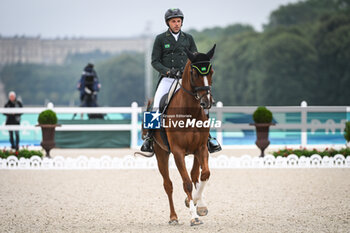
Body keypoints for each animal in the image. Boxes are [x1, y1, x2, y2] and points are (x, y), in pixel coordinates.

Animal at [139, 44, 216, 226]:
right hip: (161, 153)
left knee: (196, 175)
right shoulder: (178, 152)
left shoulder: (201, 148)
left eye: (211, 72)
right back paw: (173, 217)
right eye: (195, 73)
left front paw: (195, 204)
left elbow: (204, 175)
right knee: (168, 185)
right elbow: (186, 183)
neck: (190, 112)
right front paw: (193, 216)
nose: (206, 102)